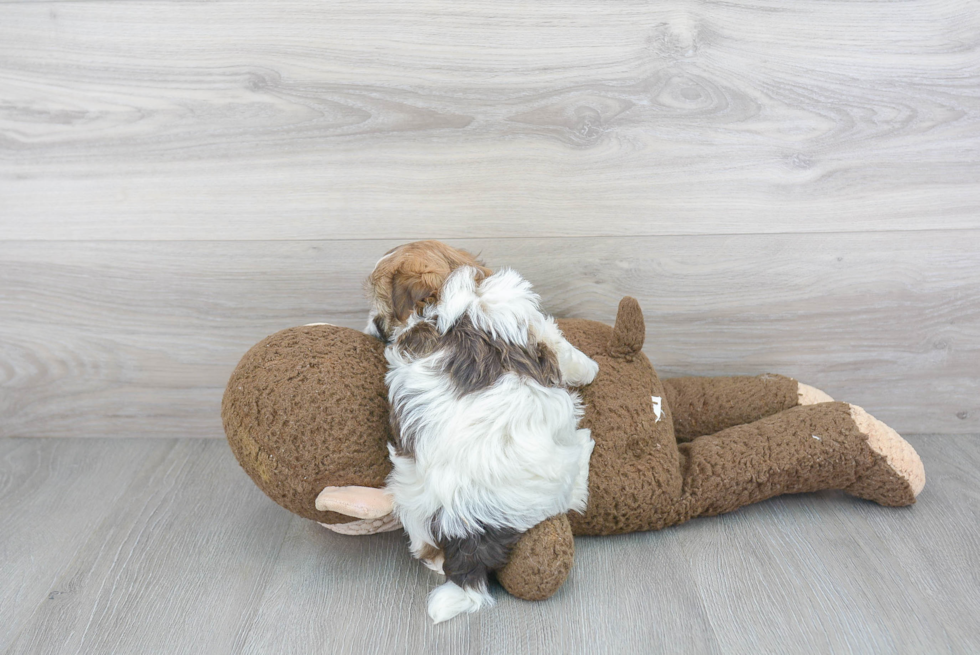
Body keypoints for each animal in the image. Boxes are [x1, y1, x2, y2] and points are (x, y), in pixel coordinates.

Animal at [368, 241, 596, 624]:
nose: (372, 325)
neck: (446, 297)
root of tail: (468, 527)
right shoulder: (535, 327)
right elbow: (564, 347)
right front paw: (591, 368)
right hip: (558, 476)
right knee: (574, 493)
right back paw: (586, 445)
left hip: (409, 493)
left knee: (427, 551)